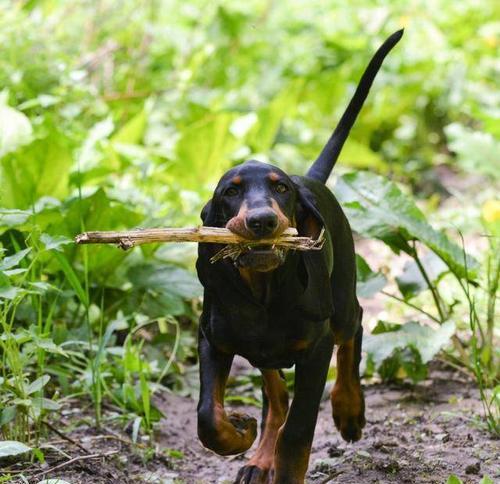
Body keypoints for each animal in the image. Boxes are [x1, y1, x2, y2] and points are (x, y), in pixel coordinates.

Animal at [194, 30, 402, 484]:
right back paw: (259, 457)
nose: (262, 221)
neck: (263, 293)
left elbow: (299, 430)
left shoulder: (315, 349)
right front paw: (239, 434)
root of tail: (312, 177)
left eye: (280, 189)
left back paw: (348, 409)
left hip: (339, 302)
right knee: (275, 395)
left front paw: (286, 466)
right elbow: (208, 417)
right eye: (230, 191)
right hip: (262, 350)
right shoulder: (213, 339)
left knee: (354, 328)